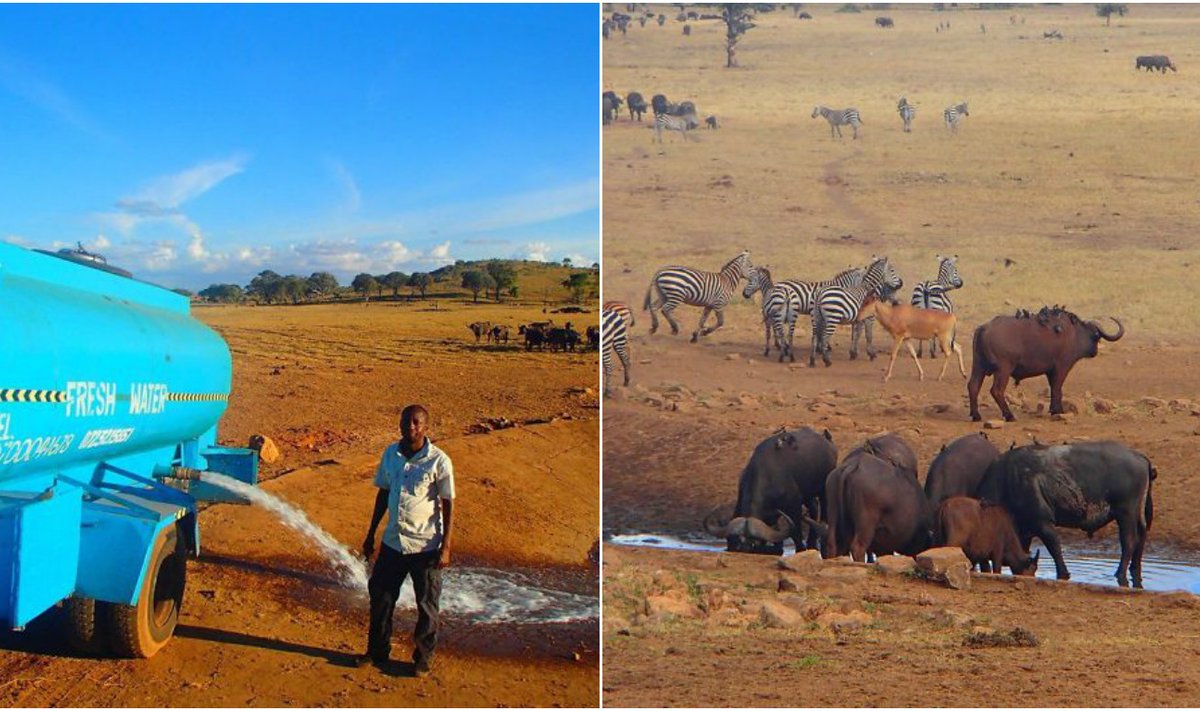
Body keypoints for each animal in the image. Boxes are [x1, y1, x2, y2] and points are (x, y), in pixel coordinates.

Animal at [700, 425, 840, 552]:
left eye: (754, 545)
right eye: (735, 543)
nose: (744, 549)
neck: (767, 476)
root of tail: (828, 442)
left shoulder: (793, 506)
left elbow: (796, 533)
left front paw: (800, 549)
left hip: (823, 490)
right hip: (807, 494)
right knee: (814, 508)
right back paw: (812, 542)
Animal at [964, 305, 1123, 422]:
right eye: (1097, 336)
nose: (1094, 351)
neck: (1075, 333)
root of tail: (984, 328)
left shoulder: (1049, 371)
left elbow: (1053, 388)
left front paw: (1053, 410)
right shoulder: (1062, 367)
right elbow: (1058, 389)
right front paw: (1058, 410)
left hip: (978, 366)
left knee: (973, 386)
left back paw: (976, 415)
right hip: (1003, 370)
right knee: (996, 390)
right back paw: (1009, 415)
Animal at [979, 441, 1156, 586]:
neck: (1007, 480)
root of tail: (1139, 457)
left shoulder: (1043, 523)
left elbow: (1055, 548)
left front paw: (1063, 574)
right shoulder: (1024, 531)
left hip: (1126, 514)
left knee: (1129, 542)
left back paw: (1120, 574)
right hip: (1136, 514)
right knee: (1141, 536)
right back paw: (1135, 571)